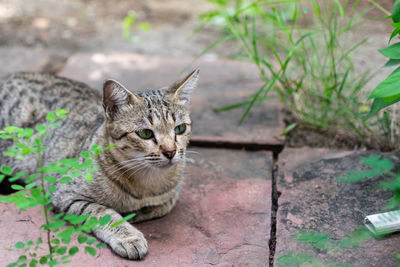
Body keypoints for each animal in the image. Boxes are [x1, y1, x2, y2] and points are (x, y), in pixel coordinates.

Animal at [0, 69, 199, 260]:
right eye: (145, 133)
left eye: (180, 128)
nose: (171, 151)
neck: (147, 184)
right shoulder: (63, 194)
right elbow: (101, 212)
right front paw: (128, 236)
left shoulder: (170, 196)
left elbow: (160, 206)